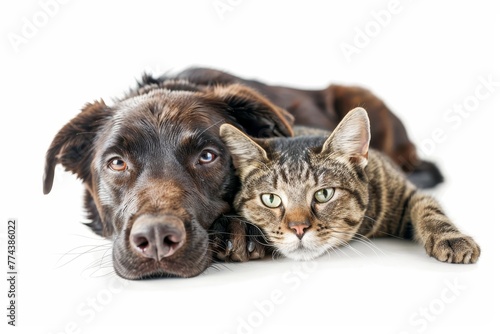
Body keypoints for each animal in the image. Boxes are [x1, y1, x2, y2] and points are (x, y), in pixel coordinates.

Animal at [220, 107, 480, 264]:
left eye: (324, 194)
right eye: (270, 199)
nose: (299, 228)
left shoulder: (405, 190)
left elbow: (429, 210)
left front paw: (451, 238)